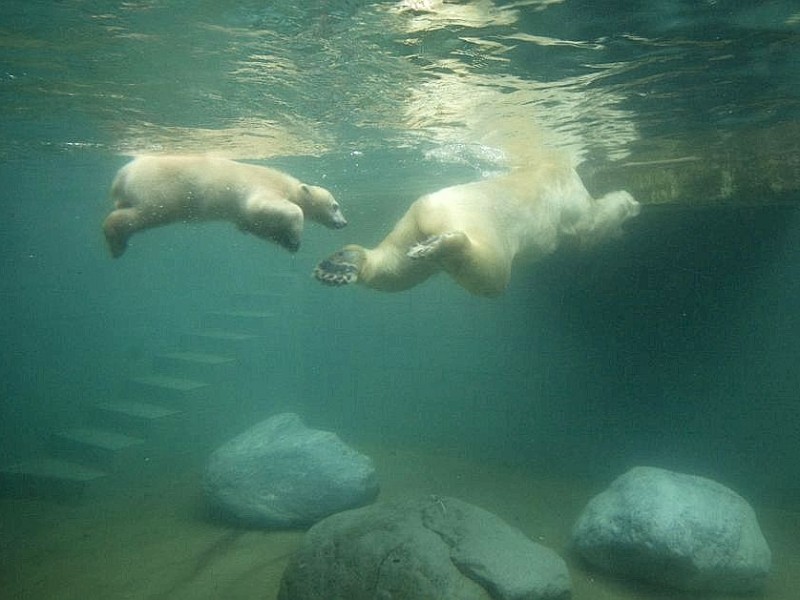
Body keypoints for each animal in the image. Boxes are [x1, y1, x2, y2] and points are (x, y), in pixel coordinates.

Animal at [101, 156, 346, 256]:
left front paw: (287, 242)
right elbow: (265, 207)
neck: (289, 185)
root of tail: (122, 176)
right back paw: (116, 242)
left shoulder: (244, 217)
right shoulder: (263, 187)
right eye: (335, 206)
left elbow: (254, 224)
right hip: (162, 192)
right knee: (141, 215)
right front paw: (295, 237)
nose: (343, 223)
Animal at [312, 155, 636, 296]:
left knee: (396, 269)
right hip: (485, 226)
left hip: (408, 225)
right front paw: (629, 204)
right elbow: (594, 222)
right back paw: (448, 243)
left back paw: (338, 265)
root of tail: (432, 209)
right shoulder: (572, 198)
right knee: (491, 276)